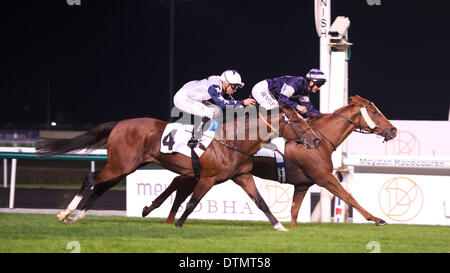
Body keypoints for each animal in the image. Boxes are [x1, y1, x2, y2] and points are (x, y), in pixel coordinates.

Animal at [37, 104, 320, 230]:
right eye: (296, 120)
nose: (316, 140)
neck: (233, 140)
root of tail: (119, 124)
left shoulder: (242, 176)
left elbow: (261, 202)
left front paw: (279, 226)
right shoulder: (207, 177)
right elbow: (192, 202)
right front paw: (177, 225)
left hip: (124, 166)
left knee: (99, 186)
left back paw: (77, 216)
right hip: (120, 165)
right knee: (91, 178)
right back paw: (65, 214)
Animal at [144, 94, 398, 226]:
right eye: (374, 111)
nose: (394, 130)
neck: (321, 139)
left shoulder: (303, 184)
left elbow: (294, 212)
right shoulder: (323, 177)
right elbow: (348, 195)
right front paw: (376, 219)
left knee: (179, 184)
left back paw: (159, 214)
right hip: (207, 173)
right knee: (180, 186)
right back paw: (156, 211)